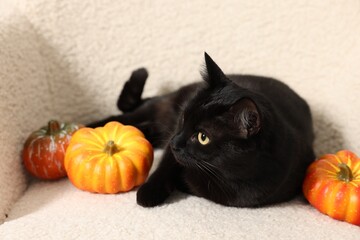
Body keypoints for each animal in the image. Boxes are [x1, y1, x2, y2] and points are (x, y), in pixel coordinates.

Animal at [89, 53, 316, 207]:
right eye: (184, 118)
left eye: (203, 137)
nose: (174, 142)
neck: (224, 175)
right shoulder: (173, 143)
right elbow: (165, 167)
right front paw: (148, 193)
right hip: (160, 108)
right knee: (125, 117)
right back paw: (88, 127)